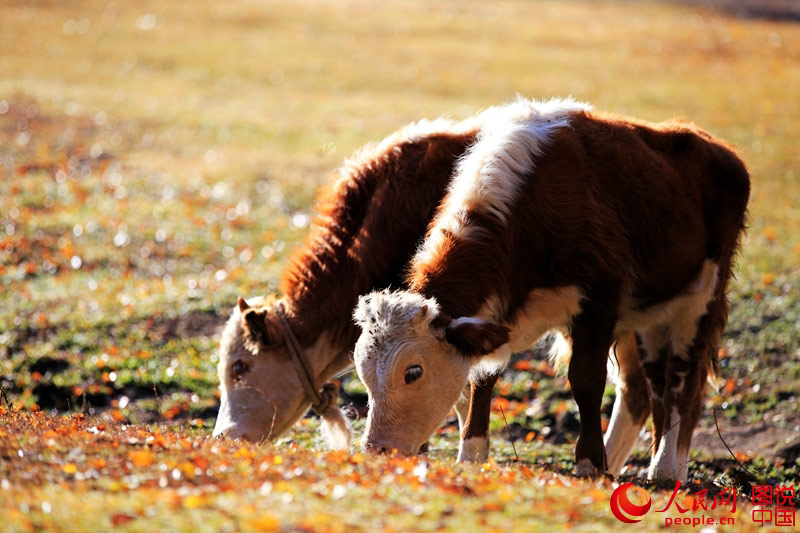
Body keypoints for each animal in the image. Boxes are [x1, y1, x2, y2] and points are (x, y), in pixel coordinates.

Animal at [352, 97, 750, 481]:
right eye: (363, 372)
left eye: (413, 371)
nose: (377, 449)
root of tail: (719, 149)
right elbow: (482, 379)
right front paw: (472, 455)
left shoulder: (598, 304)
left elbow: (586, 380)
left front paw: (589, 463)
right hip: (651, 314)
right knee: (652, 385)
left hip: (700, 299)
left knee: (682, 378)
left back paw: (665, 467)